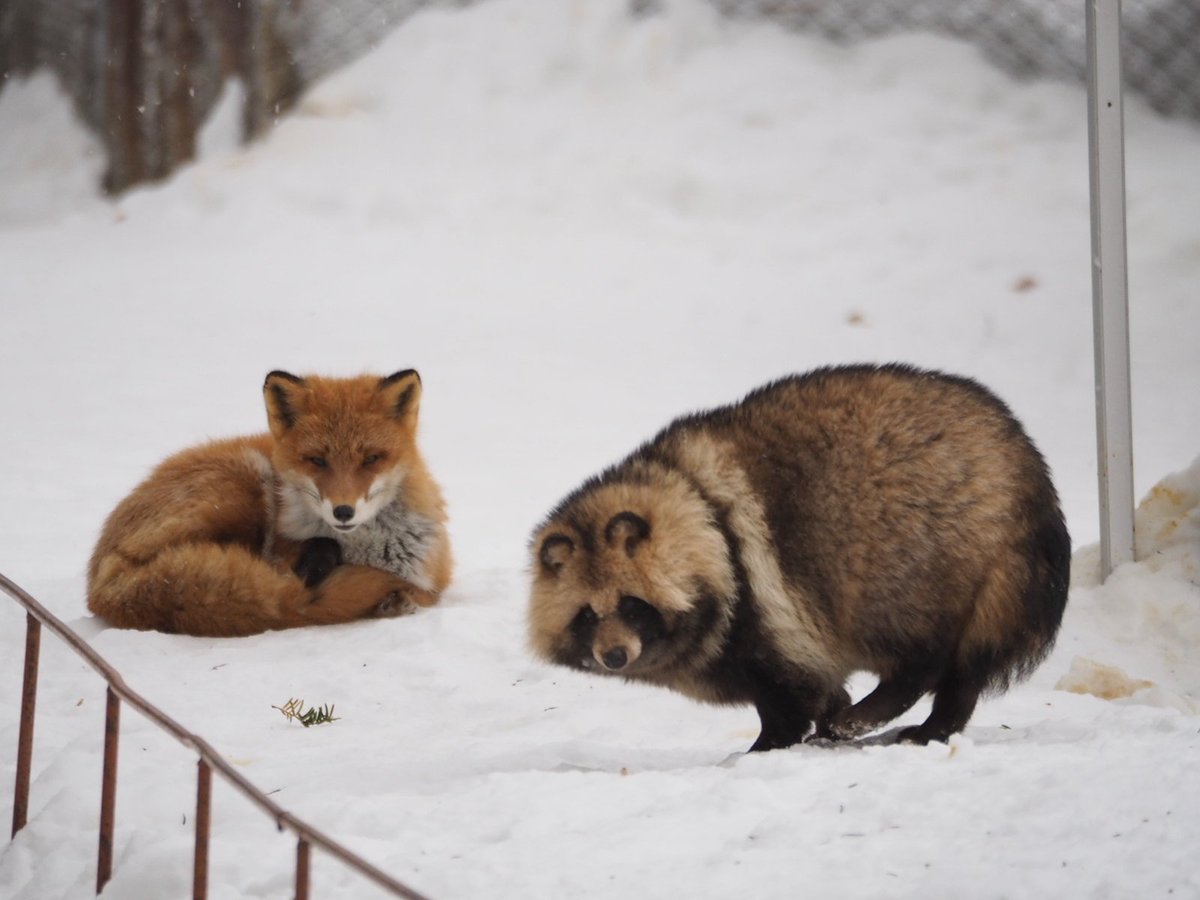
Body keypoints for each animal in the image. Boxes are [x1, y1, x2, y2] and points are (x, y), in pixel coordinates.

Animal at [84, 369, 451, 638]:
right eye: (317, 460)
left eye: (371, 459)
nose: (343, 511)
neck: (366, 551)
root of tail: (99, 584)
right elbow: (314, 553)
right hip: (241, 486)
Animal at [530, 362, 1075, 748]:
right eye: (587, 614)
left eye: (631, 605)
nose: (614, 656)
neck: (700, 512)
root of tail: (1023, 463)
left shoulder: (766, 607)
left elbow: (789, 695)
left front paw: (772, 744)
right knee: (967, 666)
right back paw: (941, 723)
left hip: (919, 556)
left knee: (925, 653)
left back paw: (884, 707)